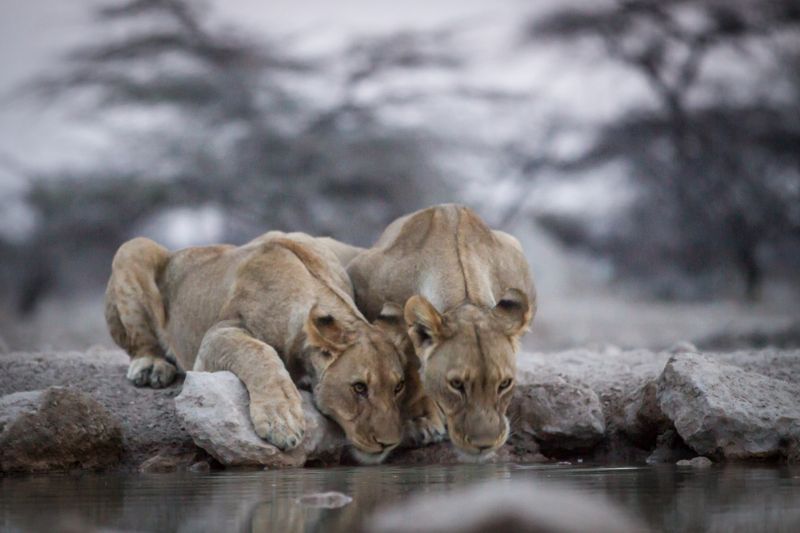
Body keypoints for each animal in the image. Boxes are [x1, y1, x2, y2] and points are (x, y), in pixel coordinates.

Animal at [104, 231, 406, 464]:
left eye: (398, 387)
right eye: (359, 388)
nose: (389, 443)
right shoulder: (215, 336)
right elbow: (259, 352)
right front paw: (281, 421)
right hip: (133, 248)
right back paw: (150, 367)